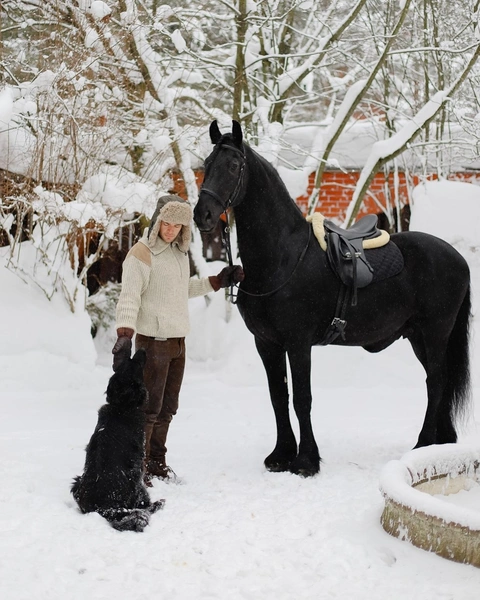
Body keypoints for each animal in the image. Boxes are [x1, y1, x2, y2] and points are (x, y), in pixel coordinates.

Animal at [71, 350, 164, 532]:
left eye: (125, 363)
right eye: (136, 364)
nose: (142, 350)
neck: (121, 406)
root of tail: (104, 508)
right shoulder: (139, 461)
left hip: (77, 482)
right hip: (137, 487)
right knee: (143, 507)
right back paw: (158, 504)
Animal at [193, 120, 470, 478]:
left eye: (233, 165)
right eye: (206, 164)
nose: (203, 214)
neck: (283, 257)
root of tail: (457, 258)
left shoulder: (298, 342)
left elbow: (302, 398)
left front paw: (306, 461)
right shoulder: (266, 343)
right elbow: (278, 396)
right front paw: (281, 454)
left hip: (435, 333)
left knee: (436, 381)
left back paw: (422, 444)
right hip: (418, 337)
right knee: (441, 381)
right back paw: (441, 442)